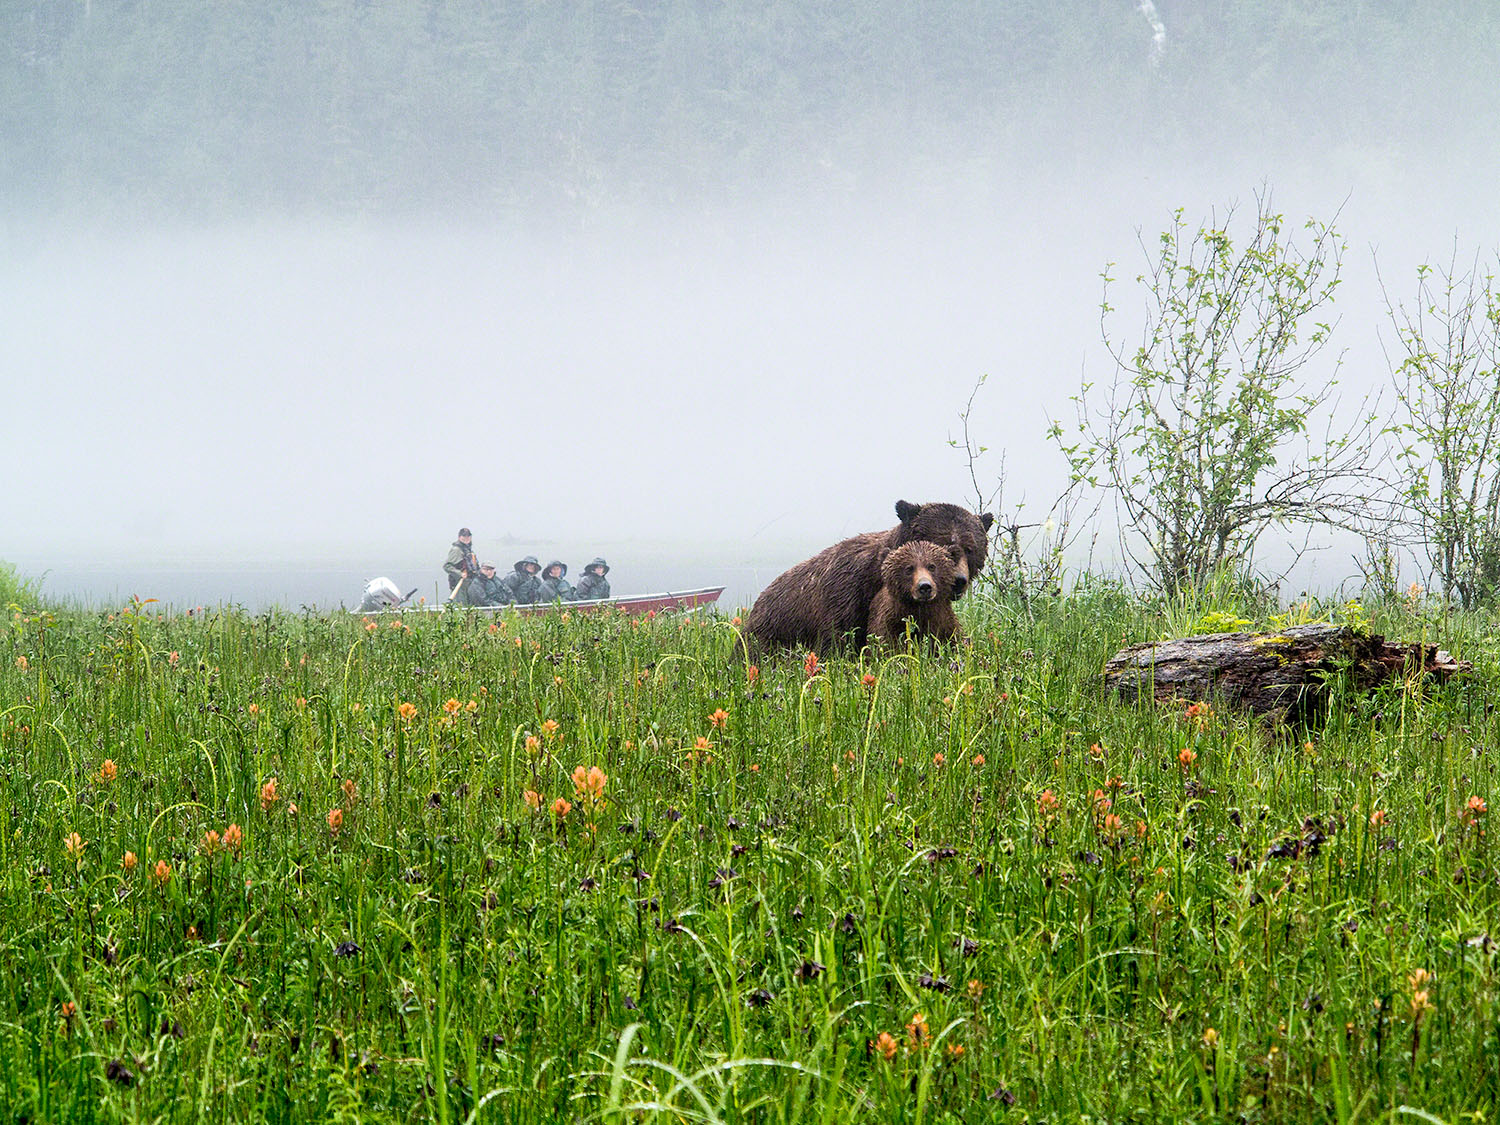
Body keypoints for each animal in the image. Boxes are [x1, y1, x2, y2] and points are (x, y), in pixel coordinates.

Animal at [745, 499, 993, 652]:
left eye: (970, 548)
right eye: (941, 542)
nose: (959, 581)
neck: (876, 578)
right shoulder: (845, 596)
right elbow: (836, 643)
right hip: (769, 633)